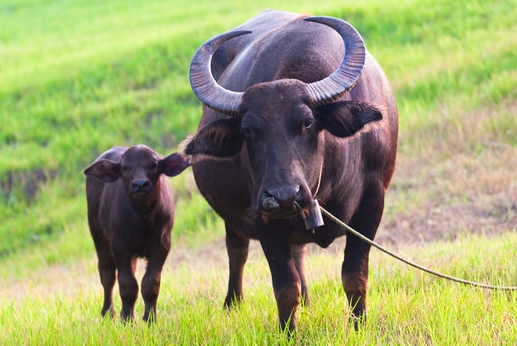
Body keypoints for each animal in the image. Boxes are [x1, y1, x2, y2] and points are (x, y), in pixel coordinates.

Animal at [84, 145, 189, 324]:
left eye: (154, 164)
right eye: (125, 167)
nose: (140, 184)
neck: (143, 219)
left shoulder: (162, 245)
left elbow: (150, 283)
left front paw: (150, 318)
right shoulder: (119, 246)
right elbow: (127, 284)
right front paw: (127, 320)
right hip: (99, 238)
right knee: (107, 275)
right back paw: (108, 313)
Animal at [183, 9, 398, 332]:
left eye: (307, 122)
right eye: (248, 132)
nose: (283, 196)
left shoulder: (372, 201)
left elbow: (354, 274)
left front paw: (358, 325)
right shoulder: (261, 215)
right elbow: (285, 286)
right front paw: (288, 332)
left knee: (298, 252)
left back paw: (308, 302)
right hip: (234, 217)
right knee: (237, 250)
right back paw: (232, 303)